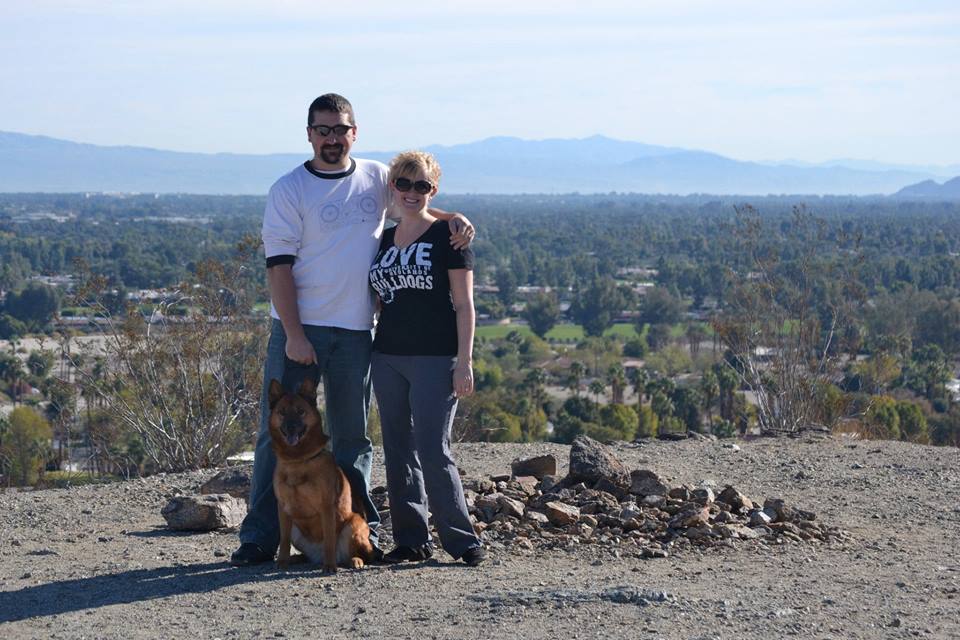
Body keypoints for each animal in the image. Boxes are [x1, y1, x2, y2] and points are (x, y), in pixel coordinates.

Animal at [272, 378, 376, 572]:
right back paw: (296, 559)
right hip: (295, 528)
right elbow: (283, 540)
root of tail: (316, 556)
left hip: (354, 524)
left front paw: (329, 566)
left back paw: (353, 560)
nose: (290, 427)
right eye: (282, 412)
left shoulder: (327, 506)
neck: (298, 460)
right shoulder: (283, 508)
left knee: (358, 553)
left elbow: (329, 539)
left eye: (301, 411)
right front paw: (282, 561)